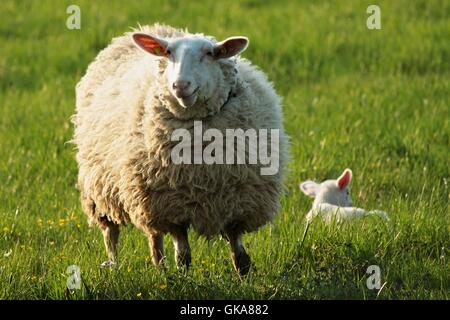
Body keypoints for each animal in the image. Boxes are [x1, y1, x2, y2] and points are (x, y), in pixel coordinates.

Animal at [70, 24, 288, 276]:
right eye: (169, 53)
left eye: (210, 53)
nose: (180, 85)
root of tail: (151, 28)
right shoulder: (171, 205)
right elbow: (183, 255)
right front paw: (184, 278)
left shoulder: (238, 201)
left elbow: (240, 253)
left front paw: (244, 276)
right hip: (104, 188)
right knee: (111, 234)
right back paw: (114, 265)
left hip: (142, 193)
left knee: (154, 236)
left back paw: (159, 267)